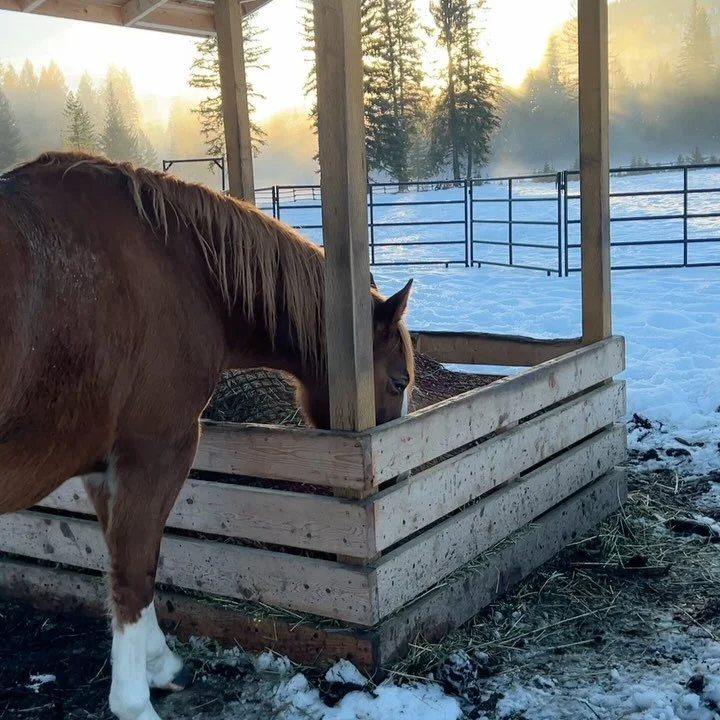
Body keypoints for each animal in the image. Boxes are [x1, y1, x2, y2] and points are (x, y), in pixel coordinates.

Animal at [0, 150, 415, 720]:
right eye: (399, 381)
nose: (393, 484)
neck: (181, 265)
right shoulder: (155, 452)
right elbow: (135, 572)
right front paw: (134, 701)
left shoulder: (103, 466)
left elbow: (124, 562)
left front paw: (160, 665)